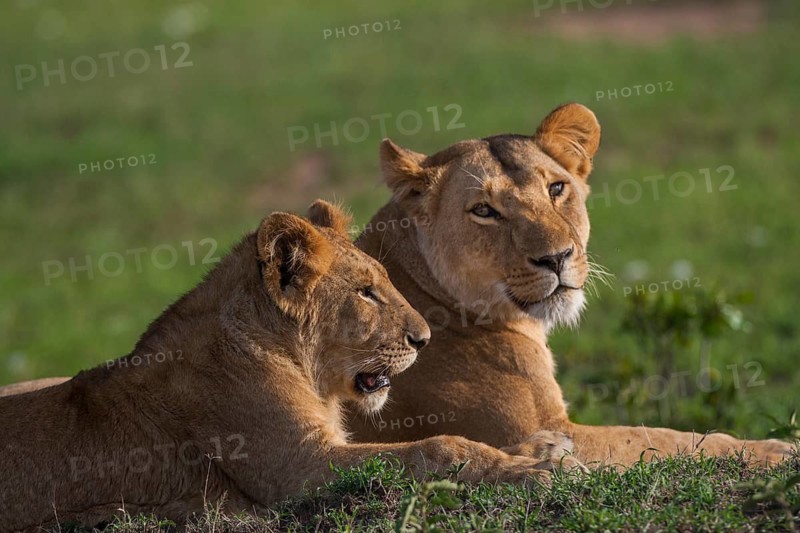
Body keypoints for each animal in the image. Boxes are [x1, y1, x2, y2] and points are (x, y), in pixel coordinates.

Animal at [0, 201, 568, 531]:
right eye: (366, 292)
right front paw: (533, 471)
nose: (423, 339)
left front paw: (543, 450)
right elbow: (435, 447)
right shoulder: (296, 469)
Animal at [343, 103, 794, 467]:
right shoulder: (540, 429)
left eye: (556, 188)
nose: (556, 258)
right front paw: (776, 449)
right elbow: (662, 439)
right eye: (484, 211)